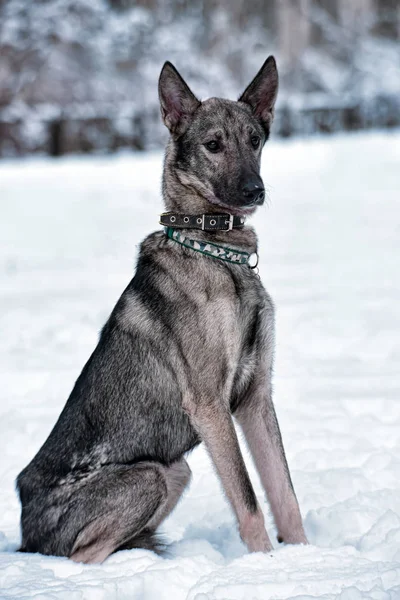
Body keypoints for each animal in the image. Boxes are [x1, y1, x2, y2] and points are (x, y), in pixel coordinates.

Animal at [17, 57, 308, 564]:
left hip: (174, 471)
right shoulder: (211, 404)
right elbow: (250, 501)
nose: (254, 190)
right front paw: (265, 566)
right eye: (213, 145)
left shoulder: (255, 396)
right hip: (151, 474)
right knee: (82, 557)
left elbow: (284, 495)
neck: (217, 251)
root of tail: (25, 532)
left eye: (254, 140)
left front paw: (309, 561)